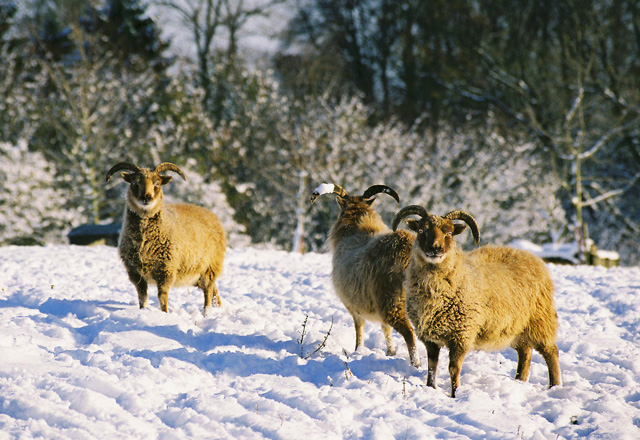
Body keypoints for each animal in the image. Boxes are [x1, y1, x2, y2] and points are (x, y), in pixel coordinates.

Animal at [106, 162, 226, 314]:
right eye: (135, 182)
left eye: (157, 183)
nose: (146, 197)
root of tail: (211, 214)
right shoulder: (135, 272)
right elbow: (142, 297)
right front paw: (142, 311)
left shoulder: (166, 270)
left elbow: (162, 298)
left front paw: (164, 314)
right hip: (197, 274)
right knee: (214, 290)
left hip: (209, 267)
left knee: (208, 291)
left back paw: (206, 313)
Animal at [311, 183, 420, 367]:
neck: (355, 229)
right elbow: (385, 329)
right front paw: (390, 352)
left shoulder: (354, 306)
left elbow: (359, 329)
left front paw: (357, 351)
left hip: (392, 302)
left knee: (409, 333)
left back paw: (416, 363)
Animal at [392, 205, 561, 397]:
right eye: (421, 230)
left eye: (449, 233)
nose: (435, 249)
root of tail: (533, 258)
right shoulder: (430, 337)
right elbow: (431, 366)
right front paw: (430, 388)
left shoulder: (461, 334)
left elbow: (453, 369)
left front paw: (455, 394)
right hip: (515, 327)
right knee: (525, 351)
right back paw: (520, 380)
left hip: (540, 320)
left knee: (551, 352)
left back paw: (554, 386)